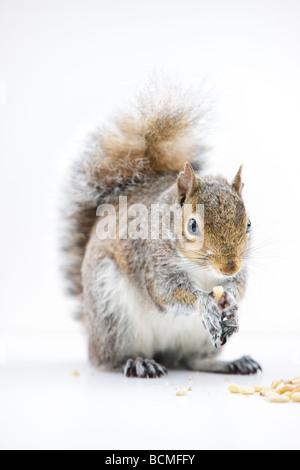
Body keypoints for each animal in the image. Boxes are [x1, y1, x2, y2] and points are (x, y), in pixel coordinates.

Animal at [62, 81, 262, 378]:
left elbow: (238, 287)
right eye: (192, 225)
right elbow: (166, 292)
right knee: (115, 358)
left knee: (189, 359)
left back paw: (231, 362)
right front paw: (204, 302)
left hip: (198, 340)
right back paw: (138, 362)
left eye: (248, 224)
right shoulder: (152, 261)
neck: (202, 271)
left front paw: (232, 305)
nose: (229, 267)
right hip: (112, 311)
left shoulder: (240, 271)